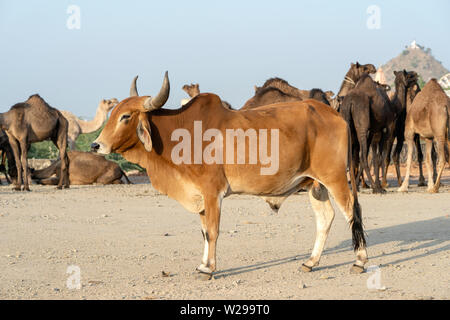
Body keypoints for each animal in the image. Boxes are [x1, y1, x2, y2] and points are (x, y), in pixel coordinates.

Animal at [92, 72, 370, 278]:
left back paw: (359, 261)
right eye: (112, 113)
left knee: (351, 212)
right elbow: (204, 231)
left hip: (335, 178)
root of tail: (335, 114)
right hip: (314, 184)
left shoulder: (212, 191)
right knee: (326, 218)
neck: (181, 135)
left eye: (125, 116)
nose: (96, 145)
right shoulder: (200, 196)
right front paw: (203, 264)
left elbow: (213, 231)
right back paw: (310, 262)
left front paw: (209, 269)